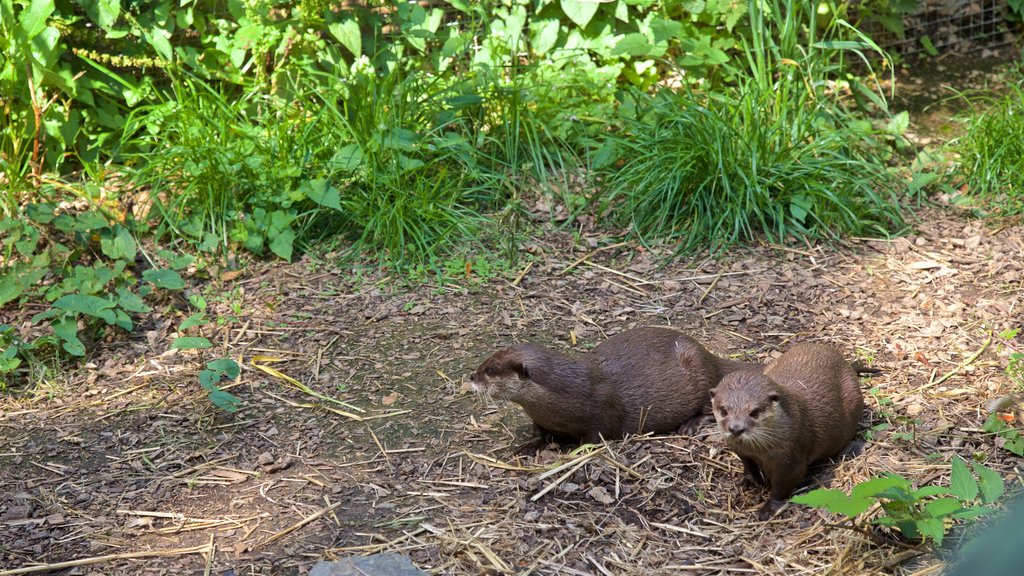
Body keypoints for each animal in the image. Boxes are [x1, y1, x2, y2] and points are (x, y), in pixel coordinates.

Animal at [471, 327, 753, 453]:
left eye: (491, 370)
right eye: (485, 362)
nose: (472, 376)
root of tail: (707, 352)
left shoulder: (602, 412)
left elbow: (593, 438)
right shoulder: (539, 418)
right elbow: (539, 433)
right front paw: (529, 445)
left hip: (701, 371)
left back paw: (689, 425)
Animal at [712, 340, 864, 520]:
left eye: (754, 412)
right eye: (723, 410)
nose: (736, 428)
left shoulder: (791, 458)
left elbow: (783, 486)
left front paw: (769, 508)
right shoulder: (740, 450)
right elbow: (747, 464)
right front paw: (749, 480)